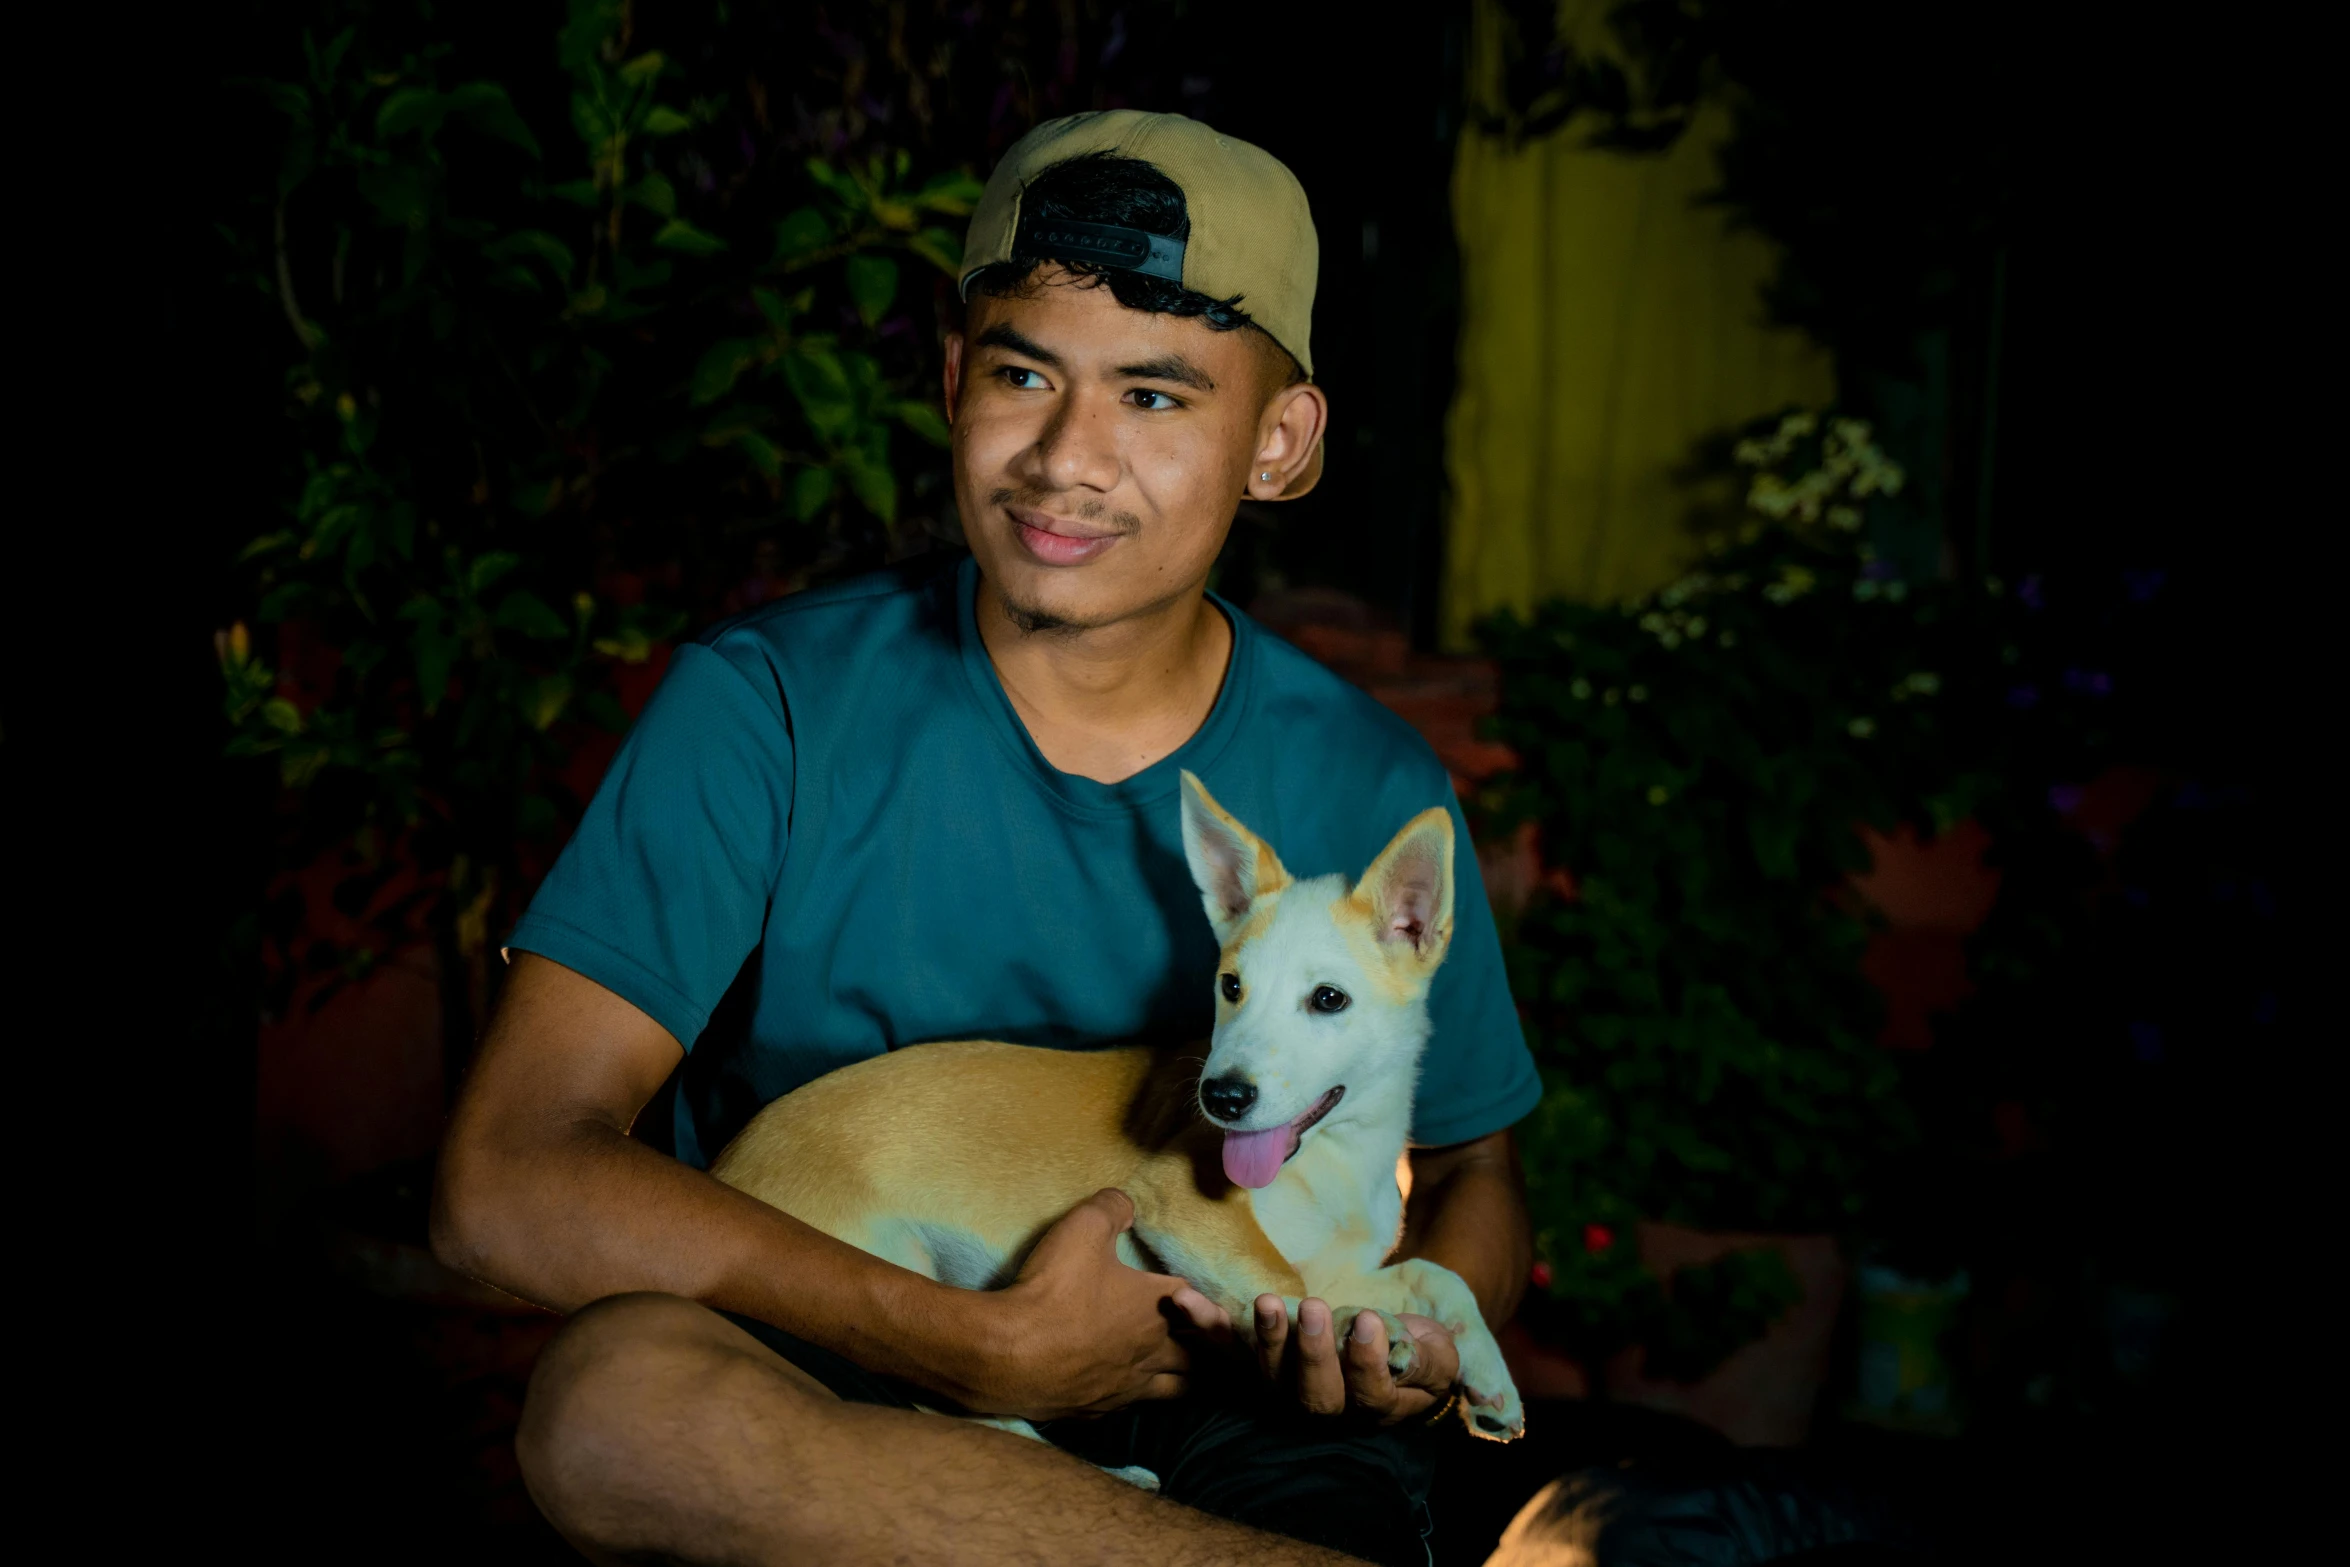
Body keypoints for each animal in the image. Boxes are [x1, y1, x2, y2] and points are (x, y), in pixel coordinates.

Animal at [709, 770, 1522, 1447]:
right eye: (1230, 986)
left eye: (1329, 999)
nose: (1221, 1096)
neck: (1338, 1157)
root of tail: (724, 1167)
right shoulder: (1186, 1208)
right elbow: (1281, 1283)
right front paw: (1359, 1326)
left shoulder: (1338, 1262)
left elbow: (1432, 1273)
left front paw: (1489, 1377)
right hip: (894, 1275)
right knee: (956, 1403)